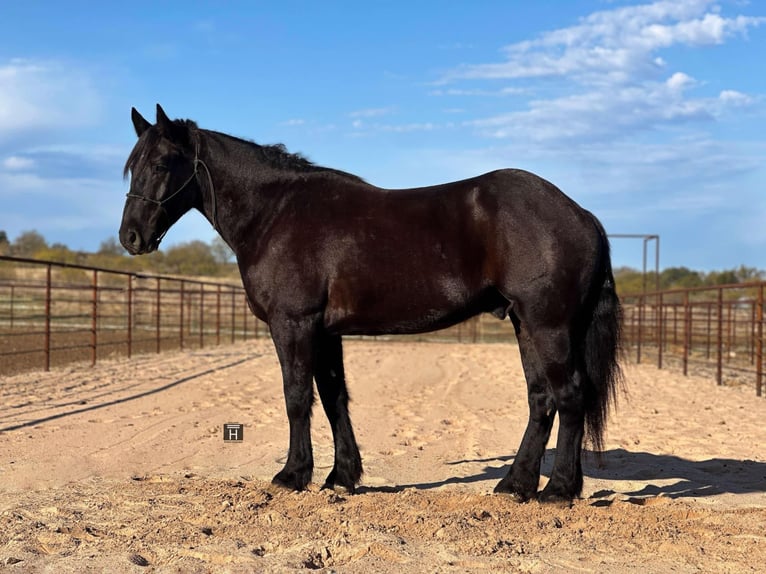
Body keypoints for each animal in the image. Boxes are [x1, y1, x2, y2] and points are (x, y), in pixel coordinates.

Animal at [119, 104, 622, 503]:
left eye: (162, 163)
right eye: (132, 165)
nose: (131, 237)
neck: (276, 213)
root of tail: (582, 215)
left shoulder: (293, 324)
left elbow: (296, 397)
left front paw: (292, 476)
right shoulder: (325, 332)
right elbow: (333, 398)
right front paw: (340, 477)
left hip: (548, 325)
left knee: (569, 395)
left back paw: (558, 490)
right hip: (526, 323)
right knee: (542, 399)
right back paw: (516, 485)